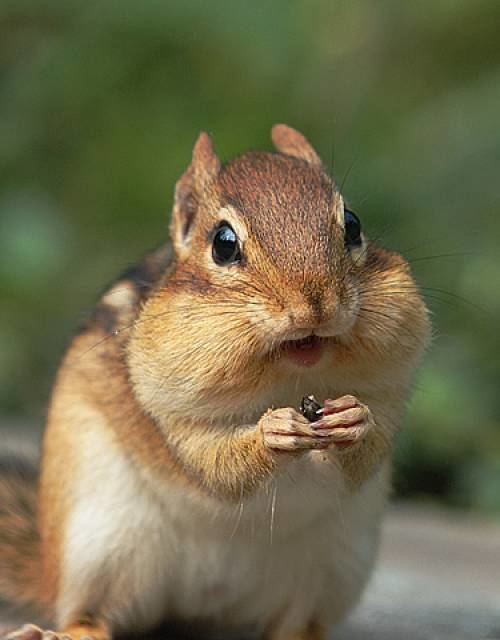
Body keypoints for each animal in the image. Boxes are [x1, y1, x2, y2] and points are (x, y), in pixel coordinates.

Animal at [0, 125, 430, 640]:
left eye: (352, 224)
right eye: (223, 244)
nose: (315, 306)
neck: (289, 377)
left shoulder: (391, 390)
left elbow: (370, 445)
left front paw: (353, 419)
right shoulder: (168, 416)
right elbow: (212, 462)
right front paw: (271, 432)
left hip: (337, 563)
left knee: (297, 625)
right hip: (99, 543)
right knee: (91, 616)